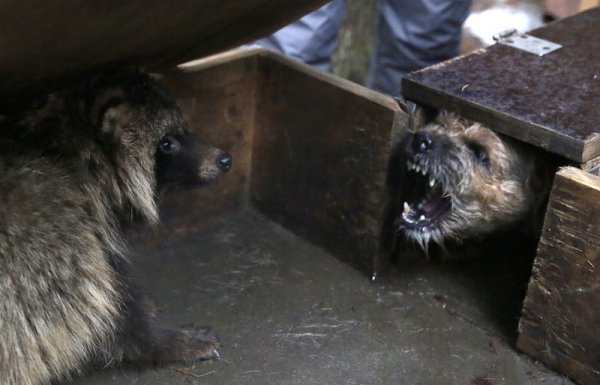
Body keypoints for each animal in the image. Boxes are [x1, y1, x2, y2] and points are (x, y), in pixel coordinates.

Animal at [0, 68, 232, 384]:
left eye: (185, 131)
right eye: (166, 143)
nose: (225, 159)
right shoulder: (56, 241)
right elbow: (96, 315)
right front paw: (167, 341)